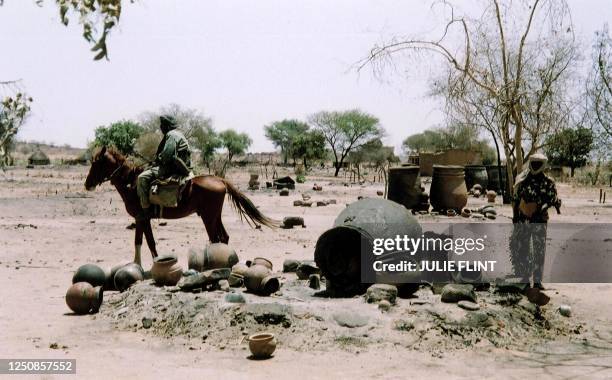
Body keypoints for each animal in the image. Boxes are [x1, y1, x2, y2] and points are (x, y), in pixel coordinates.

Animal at [83, 146, 278, 268]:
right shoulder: (142, 219)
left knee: (215, 238)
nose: (87, 184)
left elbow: (144, 241)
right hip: (215, 216)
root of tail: (220, 179)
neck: (131, 182)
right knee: (224, 237)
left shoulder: (141, 217)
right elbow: (145, 242)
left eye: (96, 164)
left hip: (208, 217)